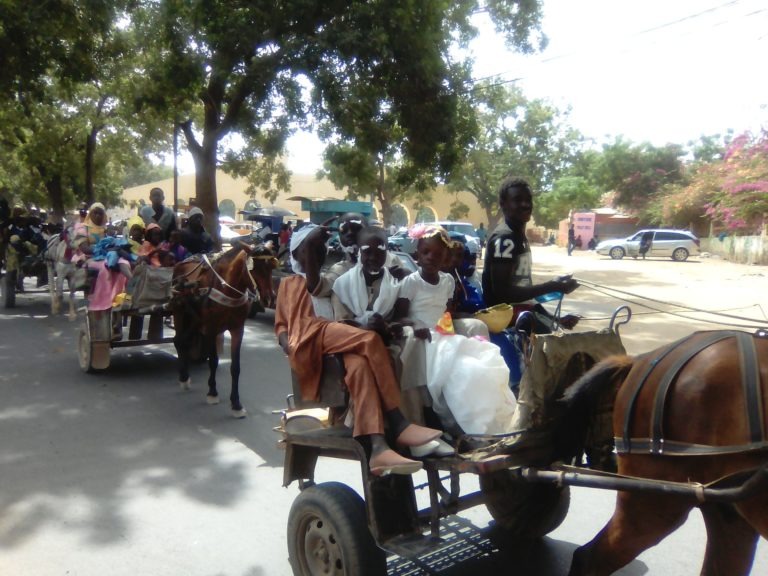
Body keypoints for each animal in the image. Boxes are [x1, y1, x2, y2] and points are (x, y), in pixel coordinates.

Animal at [171, 242, 276, 418]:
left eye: (271, 267)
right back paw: (183, 377)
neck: (228, 289)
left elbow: (235, 368)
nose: (269, 298)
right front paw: (212, 393)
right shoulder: (211, 329)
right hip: (179, 312)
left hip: (196, 319)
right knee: (178, 340)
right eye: (255, 268)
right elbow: (213, 361)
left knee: (185, 341)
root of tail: (181, 263)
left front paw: (236, 404)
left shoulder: (237, 329)